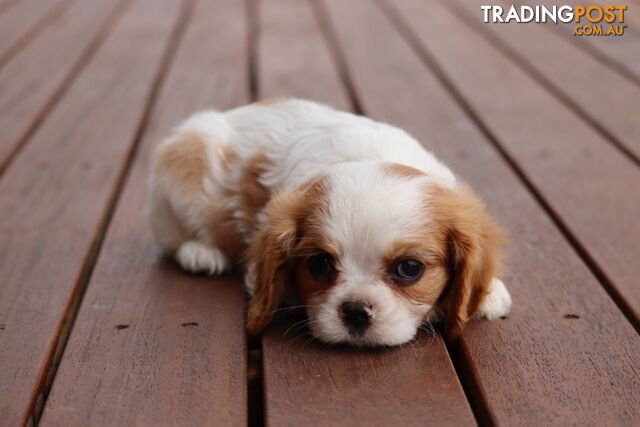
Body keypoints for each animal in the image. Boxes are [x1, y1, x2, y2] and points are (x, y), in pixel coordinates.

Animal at [149, 99, 510, 348]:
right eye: (319, 264)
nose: (355, 311)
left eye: (410, 268)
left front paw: (488, 293)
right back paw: (201, 252)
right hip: (181, 183)